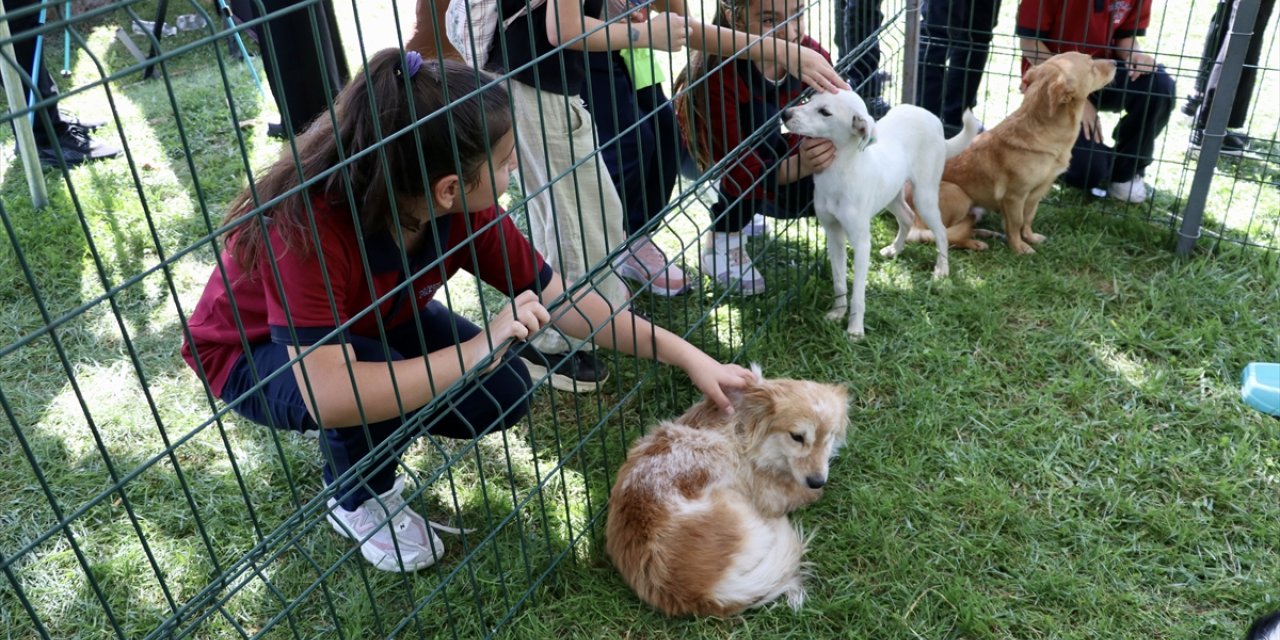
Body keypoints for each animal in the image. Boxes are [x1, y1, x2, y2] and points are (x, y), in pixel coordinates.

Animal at [606, 368, 849, 616]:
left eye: (829, 436)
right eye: (797, 437)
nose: (817, 481)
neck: (743, 427)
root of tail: (705, 592)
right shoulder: (772, 494)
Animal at [778, 93, 977, 340]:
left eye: (825, 112)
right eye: (811, 98)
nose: (785, 114)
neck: (838, 173)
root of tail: (933, 119)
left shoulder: (862, 243)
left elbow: (858, 292)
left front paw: (855, 329)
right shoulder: (833, 235)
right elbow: (839, 282)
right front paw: (837, 313)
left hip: (925, 195)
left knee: (940, 231)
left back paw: (942, 269)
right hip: (892, 195)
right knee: (907, 217)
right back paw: (895, 249)